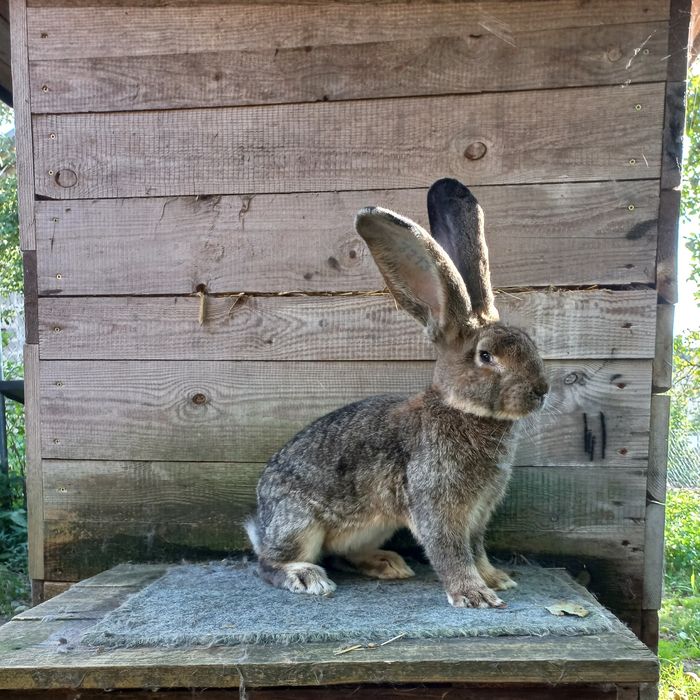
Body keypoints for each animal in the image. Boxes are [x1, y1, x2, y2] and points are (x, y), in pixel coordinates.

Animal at [246, 176, 548, 608]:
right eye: (486, 356)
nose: (542, 390)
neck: (462, 410)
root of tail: (262, 520)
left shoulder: (479, 516)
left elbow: (477, 549)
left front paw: (497, 579)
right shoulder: (439, 508)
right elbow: (452, 552)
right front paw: (475, 595)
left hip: (374, 526)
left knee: (343, 554)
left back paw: (387, 564)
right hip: (300, 523)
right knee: (270, 564)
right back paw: (306, 576)